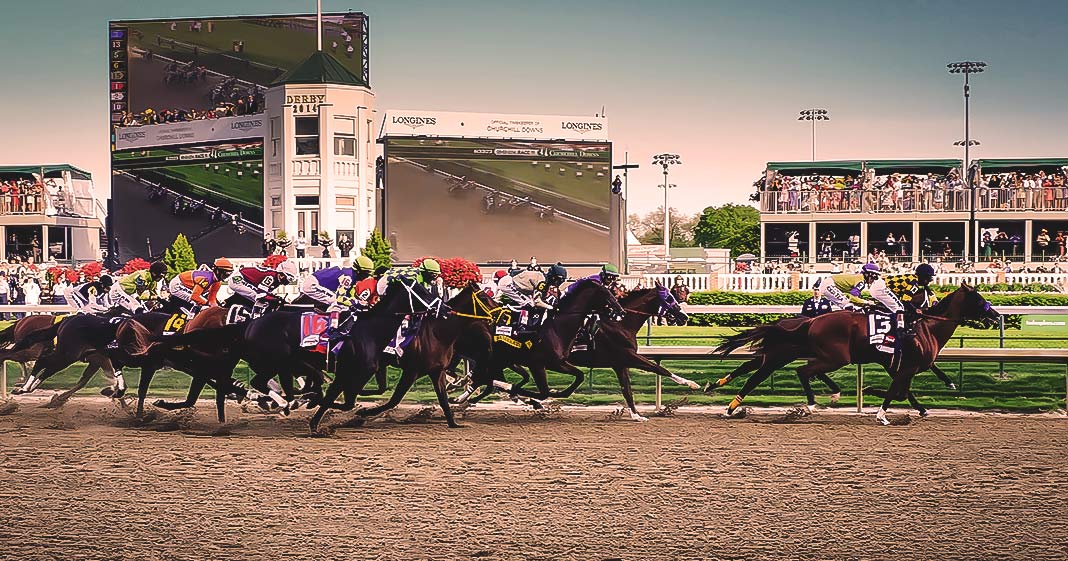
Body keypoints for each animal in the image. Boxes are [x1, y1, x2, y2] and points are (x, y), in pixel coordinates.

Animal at [713, 284, 995, 425]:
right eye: (979, 299)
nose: (994, 315)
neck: (925, 326)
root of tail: (812, 322)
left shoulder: (899, 366)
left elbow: (903, 392)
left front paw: (921, 408)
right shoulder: (904, 366)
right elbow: (895, 392)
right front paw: (880, 412)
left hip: (791, 353)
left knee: (758, 369)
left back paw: (726, 396)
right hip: (834, 356)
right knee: (798, 371)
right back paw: (812, 403)